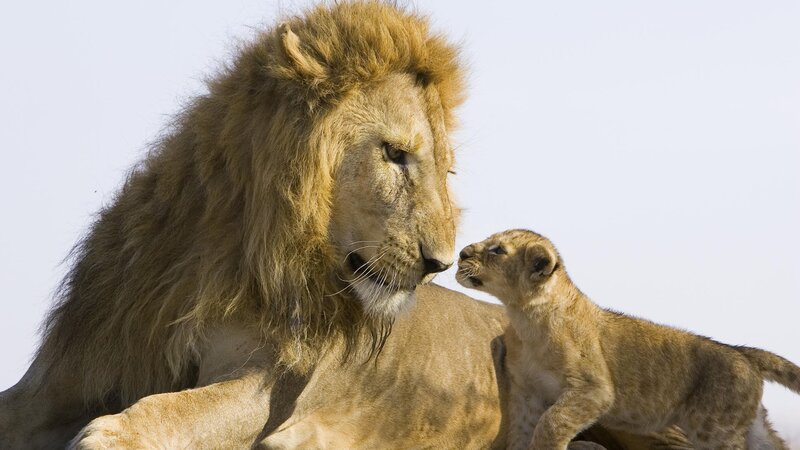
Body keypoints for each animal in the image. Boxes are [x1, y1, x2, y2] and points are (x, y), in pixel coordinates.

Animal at [0, 2, 693, 449]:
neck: (227, 251)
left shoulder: (270, 386)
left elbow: (164, 414)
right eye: (395, 154)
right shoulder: (69, 375)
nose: (442, 263)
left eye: (444, 168)